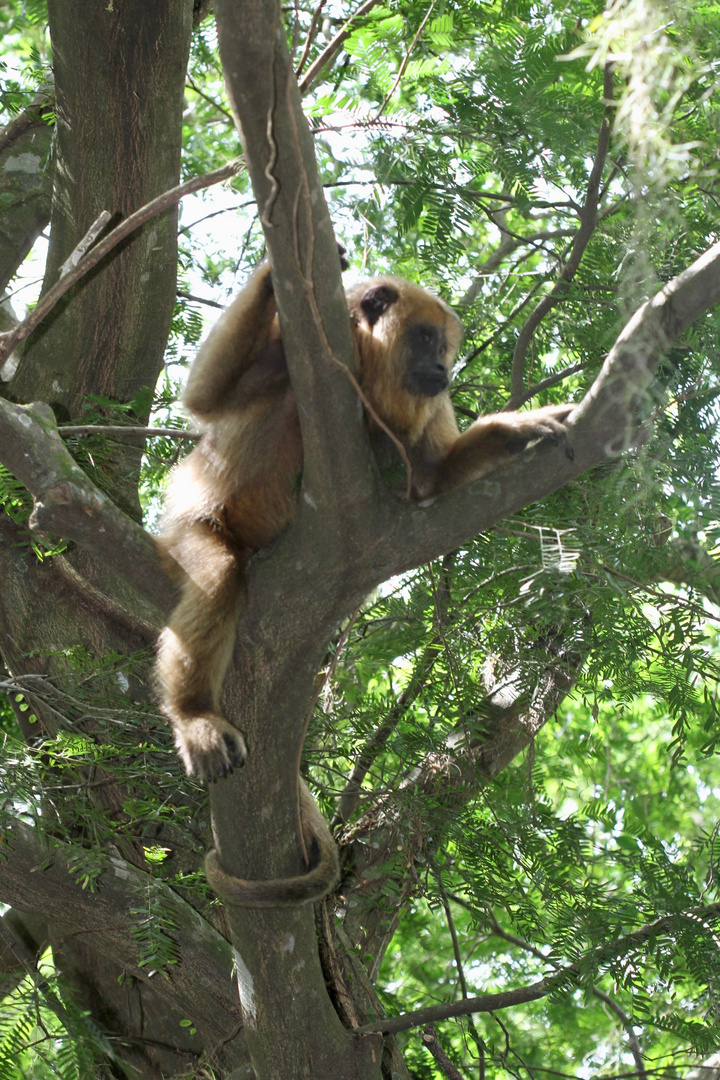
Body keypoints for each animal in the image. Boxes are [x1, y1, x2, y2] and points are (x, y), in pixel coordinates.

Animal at [157, 250, 574, 902]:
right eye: (425, 338)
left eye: (446, 347)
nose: (442, 368)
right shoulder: (287, 354)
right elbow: (203, 397)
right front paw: (277, 270)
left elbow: (429, 476)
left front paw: (519, 429)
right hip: (189, 531)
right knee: (219, 571)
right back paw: (194, 713)